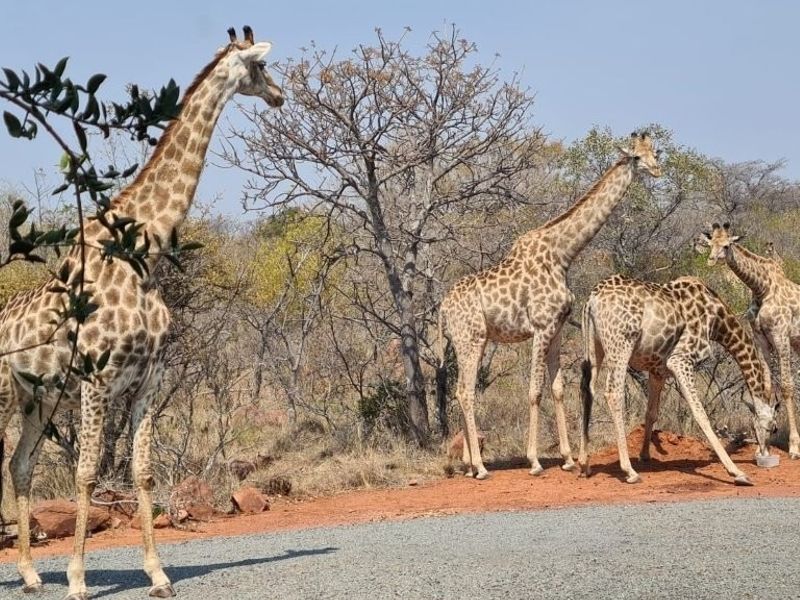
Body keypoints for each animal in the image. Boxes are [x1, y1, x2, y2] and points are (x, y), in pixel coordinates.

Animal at [0, 27, 283, 599]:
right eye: (261, 68)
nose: (280, 96)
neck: (141, 256)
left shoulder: (149, 378)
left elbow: (144, 471)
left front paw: (158, 574)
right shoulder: (96, 378)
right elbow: (87, 473)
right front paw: (78, 580)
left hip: (38, 400)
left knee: (20, 465)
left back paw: (31, 575)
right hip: (4, 395)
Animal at [437, 132, 662, 480]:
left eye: (655, 152)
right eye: (636, 157)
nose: (657, 169)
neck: (563, 254)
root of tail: (443, 308)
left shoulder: (556, 328)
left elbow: (557, 388)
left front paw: (568, 459)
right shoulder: (541, 328)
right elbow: (534, 390)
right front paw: (534, 461)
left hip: (470, 341)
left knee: (462, 391)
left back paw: (470, 465)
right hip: (470, 339)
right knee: (465, 391)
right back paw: (481, 467)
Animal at [577, 274, 778, 485]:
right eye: (773, 428)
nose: (764, 454)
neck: (717, 321)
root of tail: (592, 300)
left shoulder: (658, 370)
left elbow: (651, 413)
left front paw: (644, 455)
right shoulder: (681, 360)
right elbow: (701, 414)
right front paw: (737, 472)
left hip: (594, 344)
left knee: (587, 389)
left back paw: (584, 464)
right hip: (621, 342)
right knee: (612, 393)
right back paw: (629, 471)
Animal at [700, 222, 800, 458]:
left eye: (727, 245)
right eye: (711, 243)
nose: (711, 260)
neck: (761, 287)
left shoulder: (781, 336)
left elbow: (787, 387)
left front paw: (794, 447)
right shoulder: (761, 339)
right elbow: (767, 386)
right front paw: (762, 446)